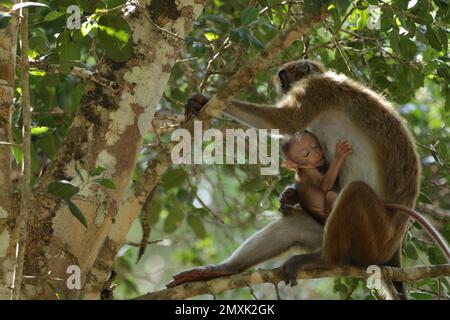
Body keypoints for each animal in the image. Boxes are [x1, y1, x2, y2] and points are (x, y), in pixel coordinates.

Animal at [169, 59, 428, 298]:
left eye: (285, 79)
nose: (281, 88)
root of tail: (392, 255)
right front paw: (291, 193)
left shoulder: (315, 90)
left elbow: (286, 122)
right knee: (291, 227)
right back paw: (224, 270)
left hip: (374, 239)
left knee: (355, 191)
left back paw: (325, 260)